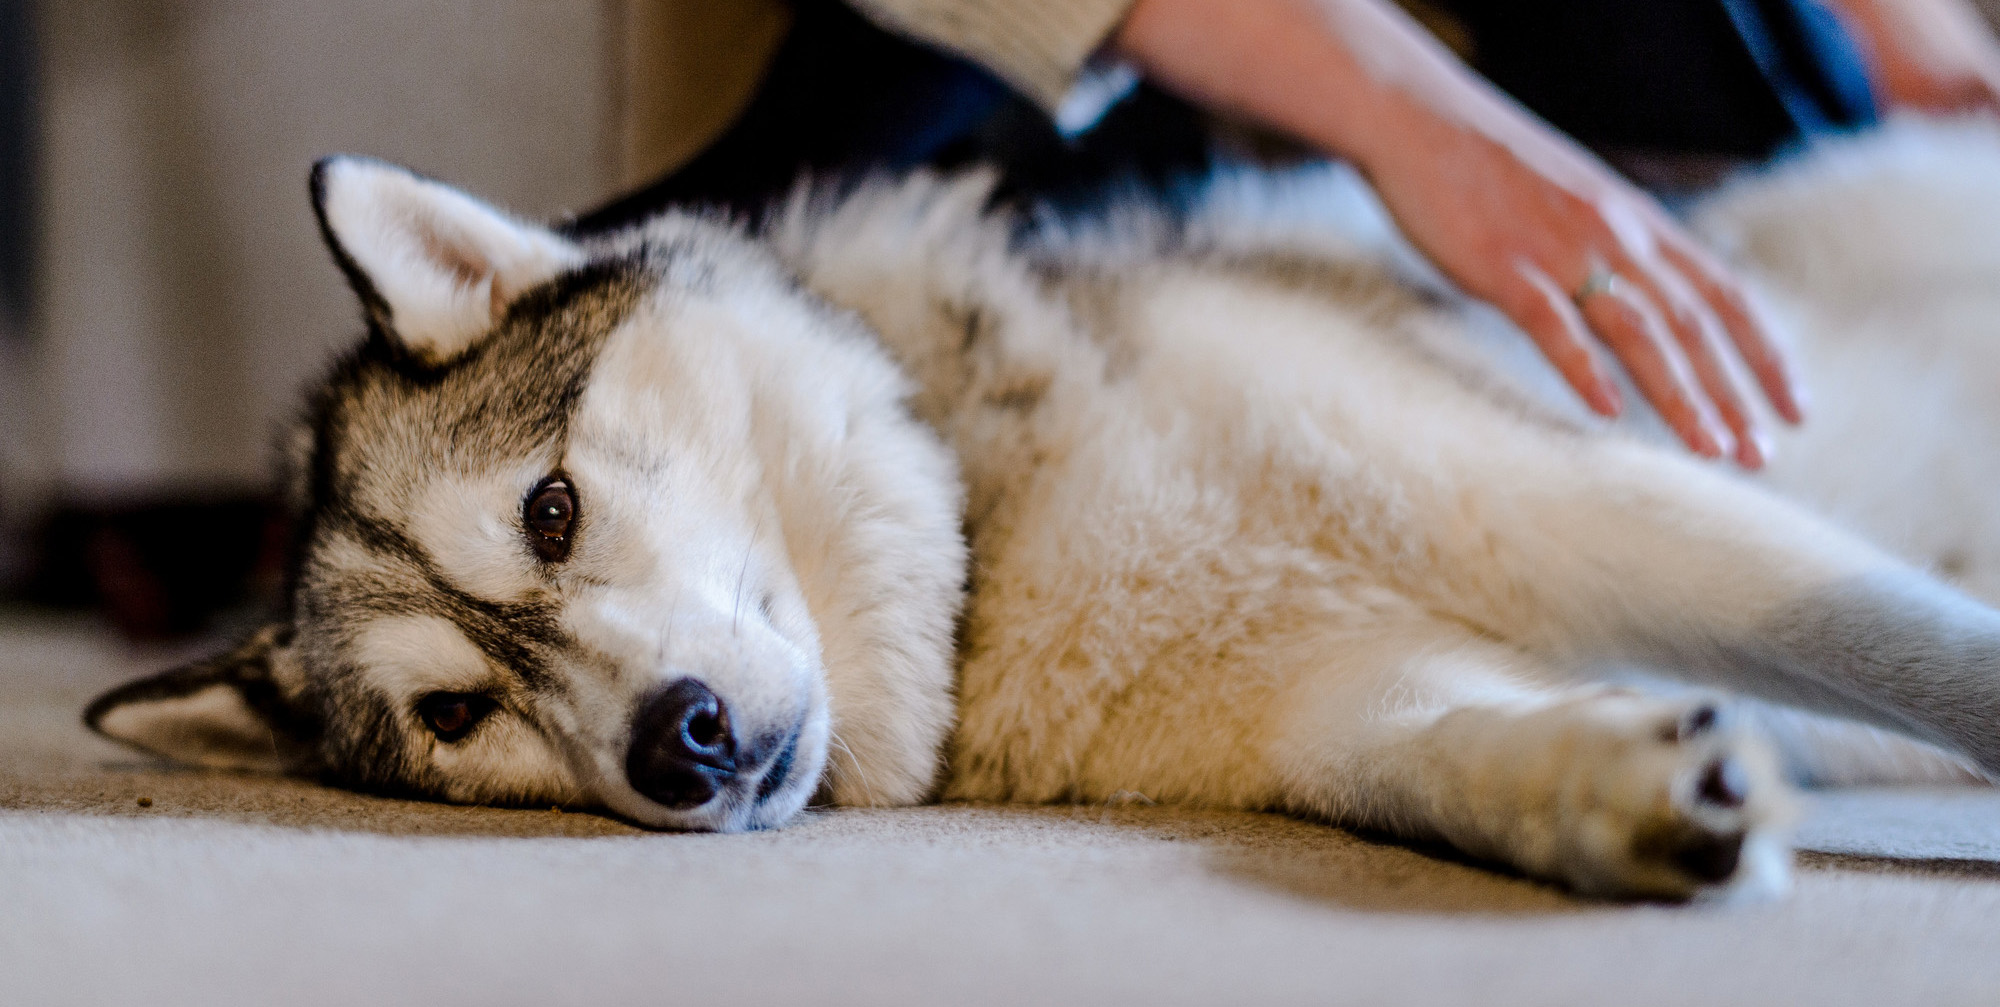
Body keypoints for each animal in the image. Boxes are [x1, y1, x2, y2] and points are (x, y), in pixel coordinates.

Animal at [82, 121, 2000, 899]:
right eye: (460, 714)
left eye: (550, 511)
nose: (672, 742)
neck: (1002, 537)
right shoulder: (1344, 697)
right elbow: (1474, 763)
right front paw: (1646, 798)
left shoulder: (1569, 494)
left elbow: (1911, 649)